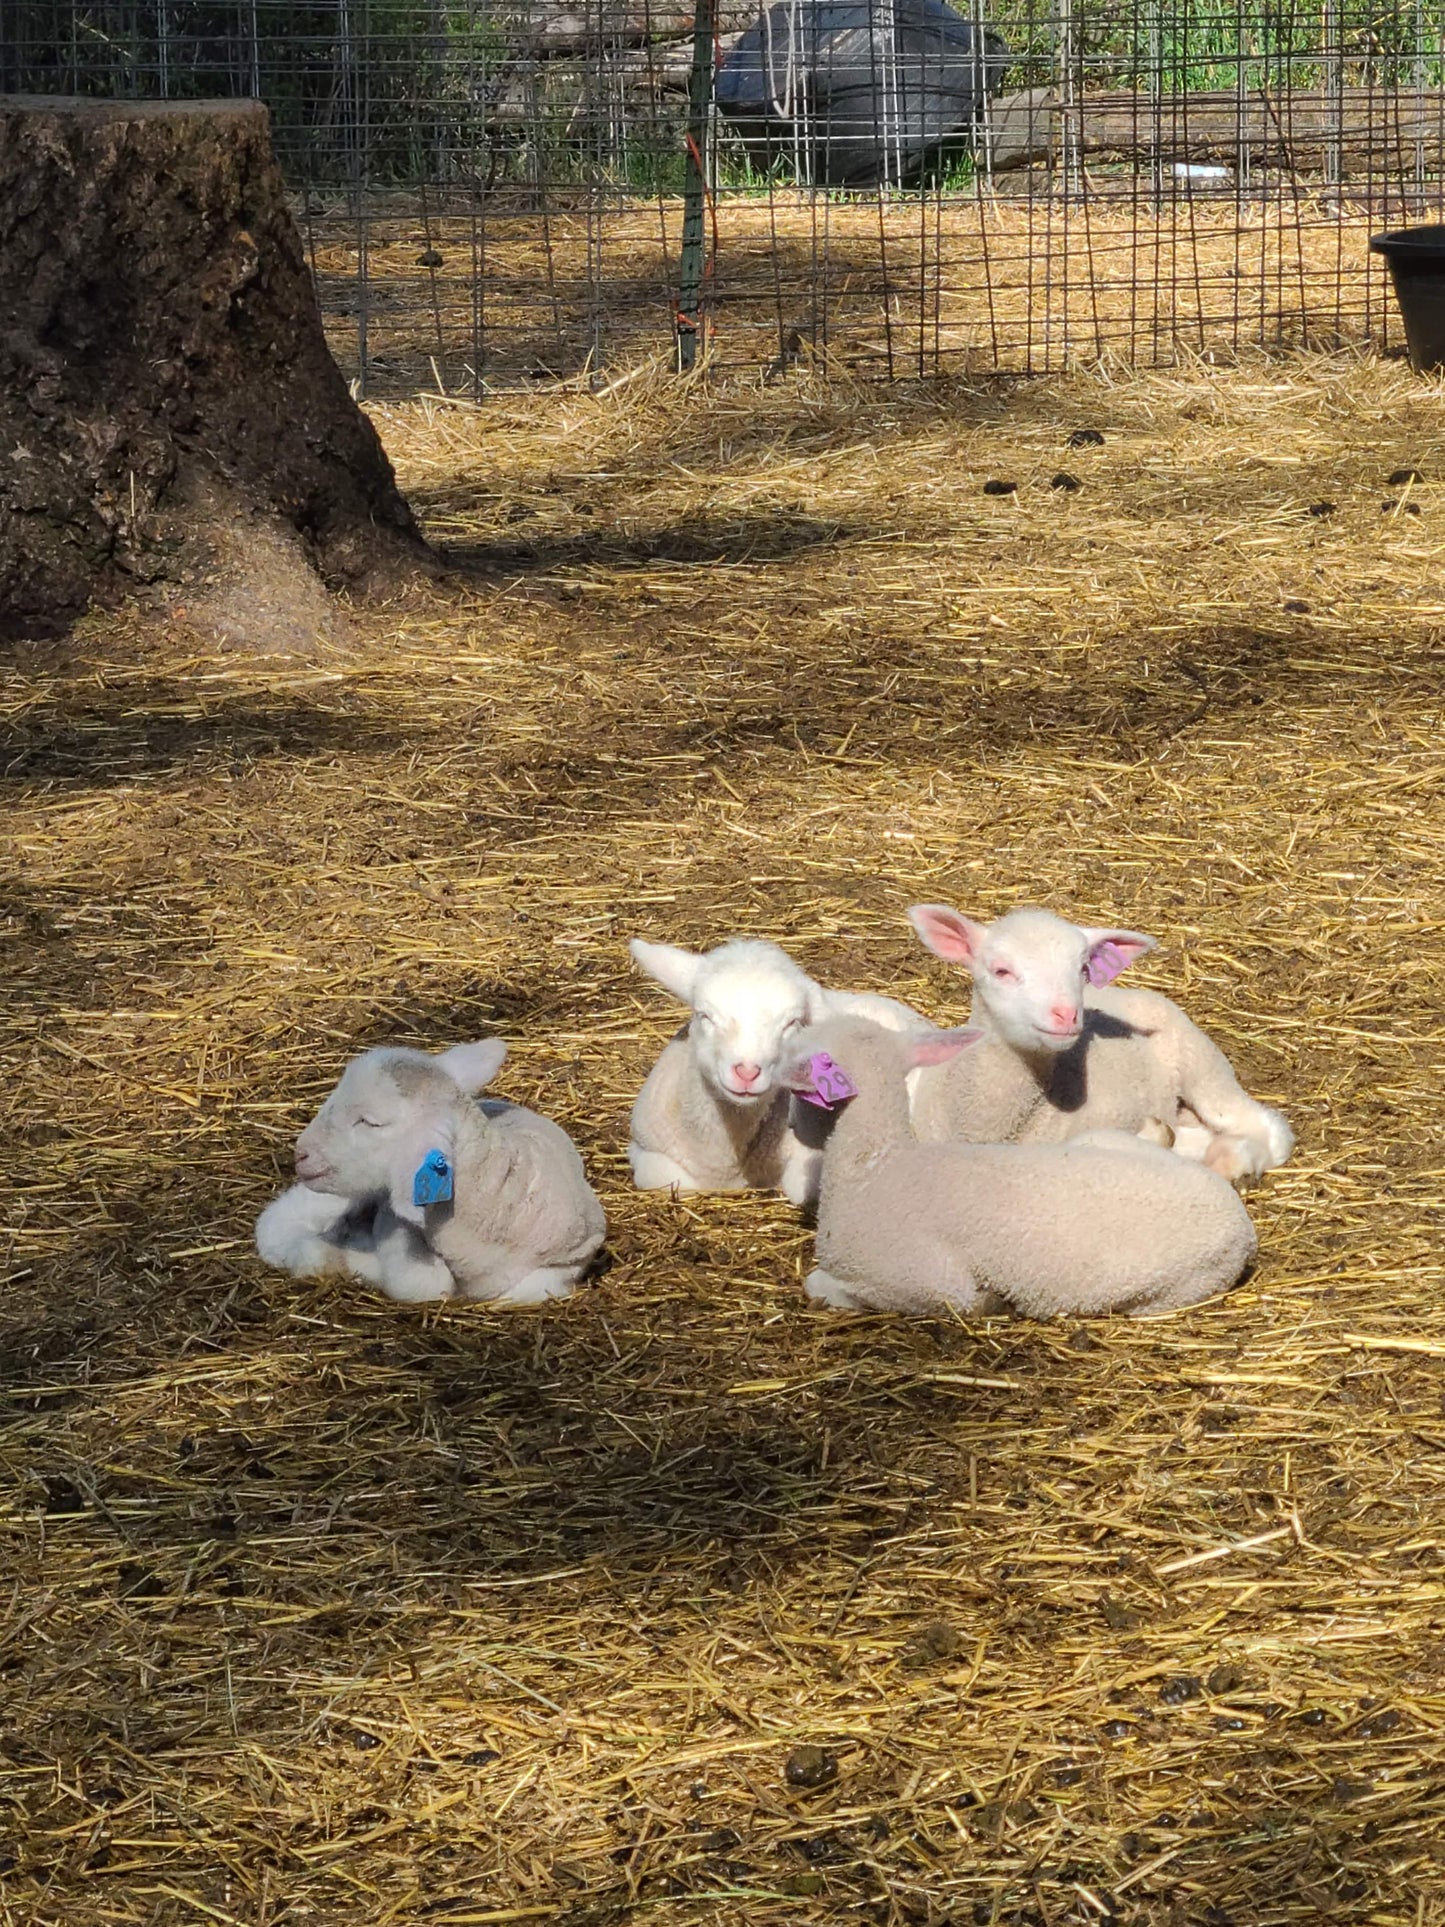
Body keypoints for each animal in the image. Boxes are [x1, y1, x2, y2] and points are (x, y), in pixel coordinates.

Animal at [627, 935, 932, 1205]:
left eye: (791, 1023)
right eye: (705, 1015)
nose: (747, 1072)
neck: (724, 1156)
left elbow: (800, 1183)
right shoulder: (640, 1148)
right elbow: (664, 1177)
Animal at [781, 1015, 1258, 1318]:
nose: (792, 1126)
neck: (872, 1165)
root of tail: (1243, 1226)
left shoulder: (923, 1282)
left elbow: (820, 1284)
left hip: (1167, 1293)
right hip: (1096, 1142)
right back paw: (1156, 1130)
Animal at [905, 904, 1294, 1185]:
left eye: (1082, 970)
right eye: (1001, 971)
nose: (1067, 1014)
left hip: (1200, 1063)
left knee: (1266, 1128)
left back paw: (1233, 1161)